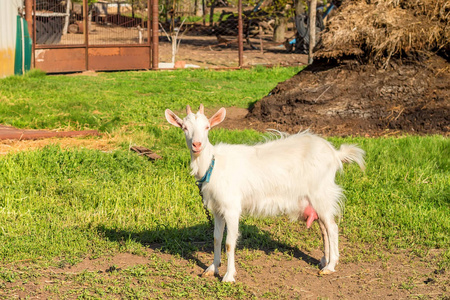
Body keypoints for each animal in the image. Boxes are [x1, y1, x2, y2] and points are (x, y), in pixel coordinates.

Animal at [165, 104, 366, 282]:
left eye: (207, 127)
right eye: (184, 127)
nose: (197, 144)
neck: (213, 164)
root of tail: (335, 154)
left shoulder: (232, 208)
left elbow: (229, 243)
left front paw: (229, 276)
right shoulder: (217, 209)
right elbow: (216, 238)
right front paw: (212, 268)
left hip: (321, 192)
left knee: (332, 227)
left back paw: (331, 266)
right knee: (324, 228)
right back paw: (325, 261)